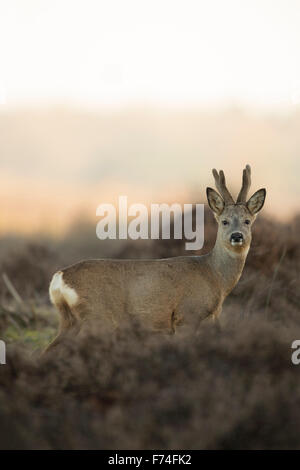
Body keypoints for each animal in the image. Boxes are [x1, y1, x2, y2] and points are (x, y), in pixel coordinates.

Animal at [46, 165, 264, 348]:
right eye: (224, 221)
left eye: (247, 221)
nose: (237, 236)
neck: (215, 277)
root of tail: (59, 277)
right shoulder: (186, 315)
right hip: (97, 315)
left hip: (69, 320)